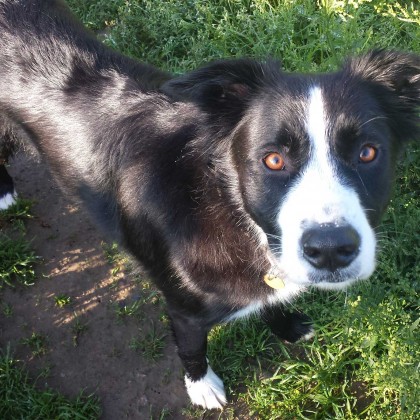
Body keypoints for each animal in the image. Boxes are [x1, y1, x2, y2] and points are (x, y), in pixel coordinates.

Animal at [0, 0, 420, 408]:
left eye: (367, 153)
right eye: (273, 159)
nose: (331, 250)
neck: (230, 209)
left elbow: (271, 300)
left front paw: (286, 326)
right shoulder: (183, 308)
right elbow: (192, 348)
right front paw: (201, 387)